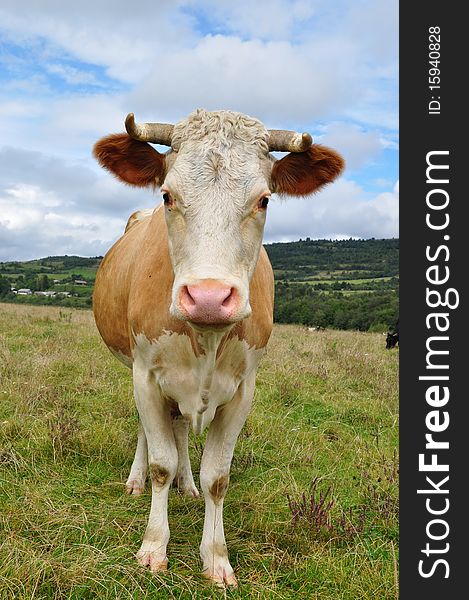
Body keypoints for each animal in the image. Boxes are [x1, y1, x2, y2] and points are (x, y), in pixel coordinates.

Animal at [91, 110, 342, 588]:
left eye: (264, 200)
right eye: (168, 195)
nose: (208, 297)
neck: (205, 338)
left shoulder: (243, 390)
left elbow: (218, 477)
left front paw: (216, 557)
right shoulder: (146, 375)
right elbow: (161, 463)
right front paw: (154, 547)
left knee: (181, 430)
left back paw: (186, 486)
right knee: (150, 433)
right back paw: (136, 480)